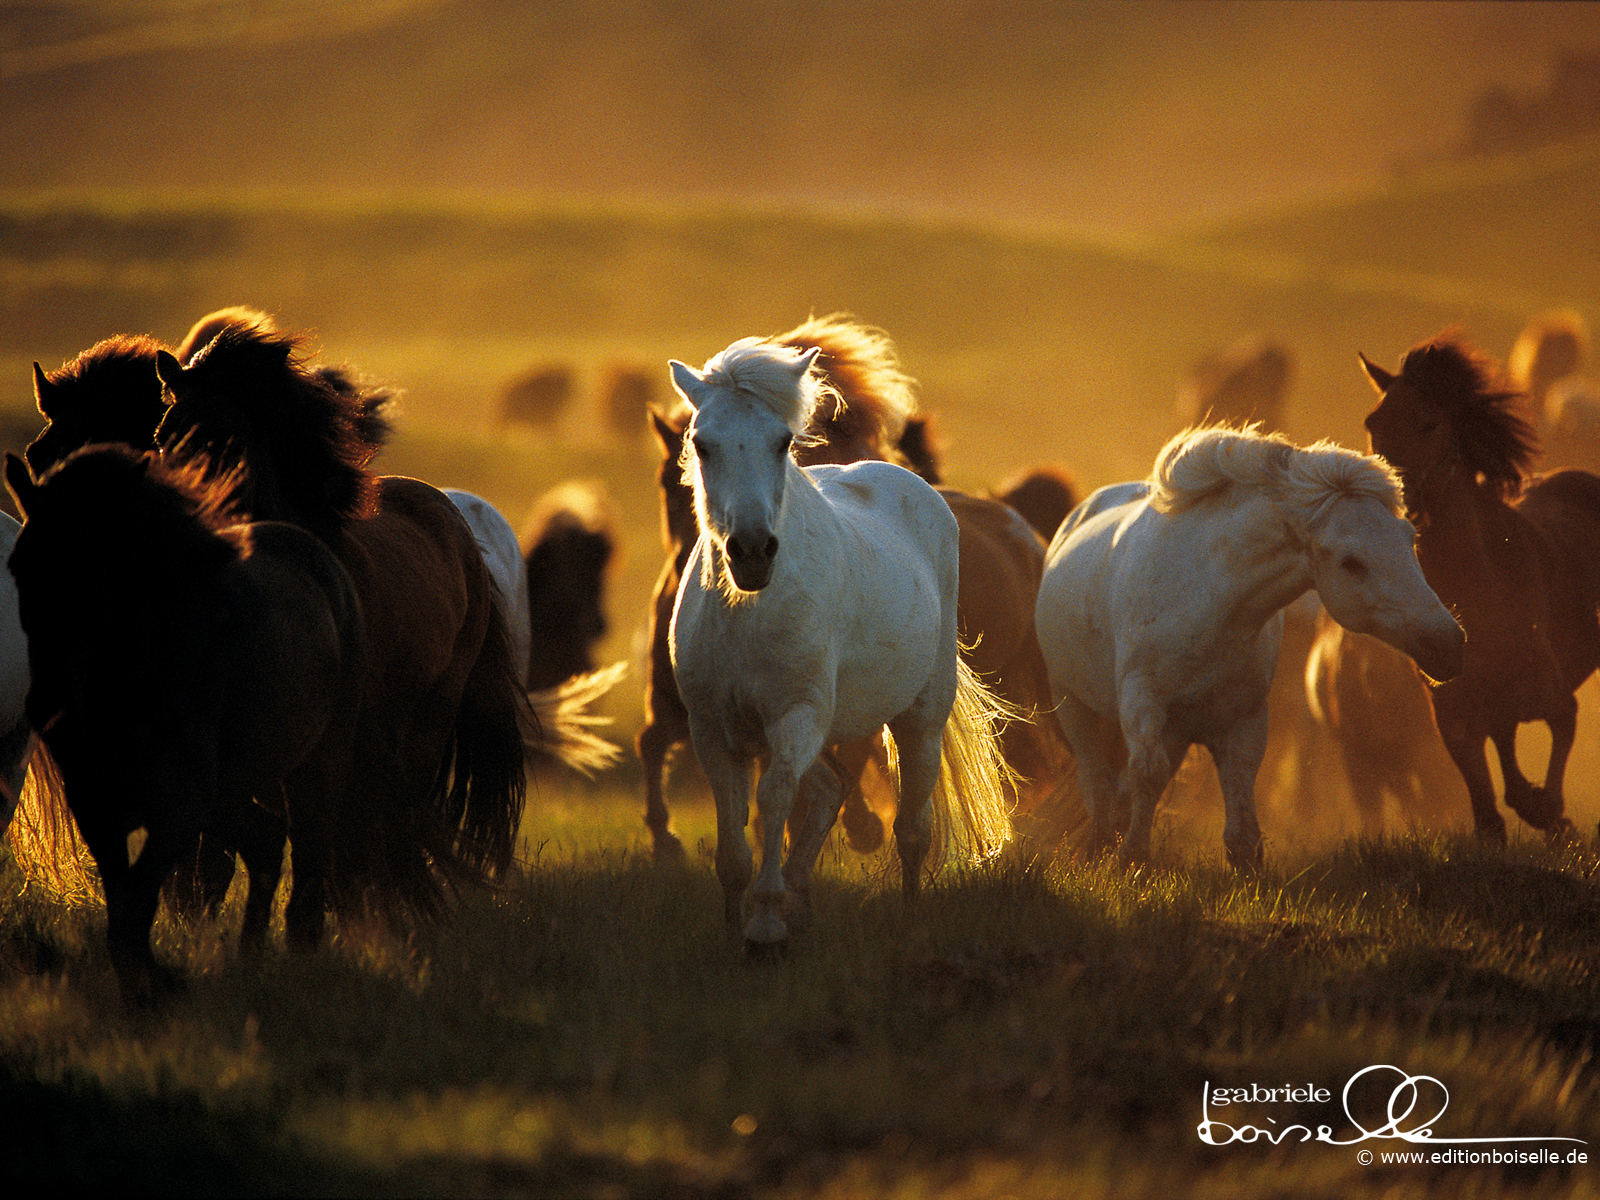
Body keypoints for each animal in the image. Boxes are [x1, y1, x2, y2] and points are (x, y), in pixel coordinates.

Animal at [5, 446, 367, 1006]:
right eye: (19, 566)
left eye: (98, 567)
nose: (48, 704)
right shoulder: (97, 805)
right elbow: (123, 908)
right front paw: (148, 989)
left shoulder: (179, 804)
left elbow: (138, 903)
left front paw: (155, 991)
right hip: (229, 792)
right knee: (267, 841)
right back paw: (248, 958)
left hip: (314, 764)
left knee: (307, 857)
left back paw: (297, 959)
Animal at [668, 337, 1013, 946]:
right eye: (701, 444)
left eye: (782, 442)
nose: (752, 551)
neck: (747, 615)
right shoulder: (713, 729)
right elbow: (734, 837)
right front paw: (738, 922)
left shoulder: (796, 716)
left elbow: (776, 797)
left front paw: (764, 924)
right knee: (831, 790)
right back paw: (802, 902)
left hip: (920, 718)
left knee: (911, 828)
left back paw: (907, 914)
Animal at [1036, 425, 1464, 869]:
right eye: (1351, 562)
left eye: (1409, 537)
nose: (1448, 642)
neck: (1209, 600)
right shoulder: (1143, 700)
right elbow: (1147, 775)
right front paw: (1131, 858)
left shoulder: (1244, 716)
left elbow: (1239, 797)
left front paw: (1245, 866)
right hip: (1072, 703)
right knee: (1096, 778)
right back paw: (1100, 842)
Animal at [1361, 334, 1600, 840]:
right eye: (1373, 423)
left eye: (1429, 422)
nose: (1391, 498)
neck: (1481, 586)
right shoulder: (1452, 712)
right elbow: (1489, 810)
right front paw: (1532, 809)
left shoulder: (1552, 694)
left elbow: (1561, 727)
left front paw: (1553, 813)